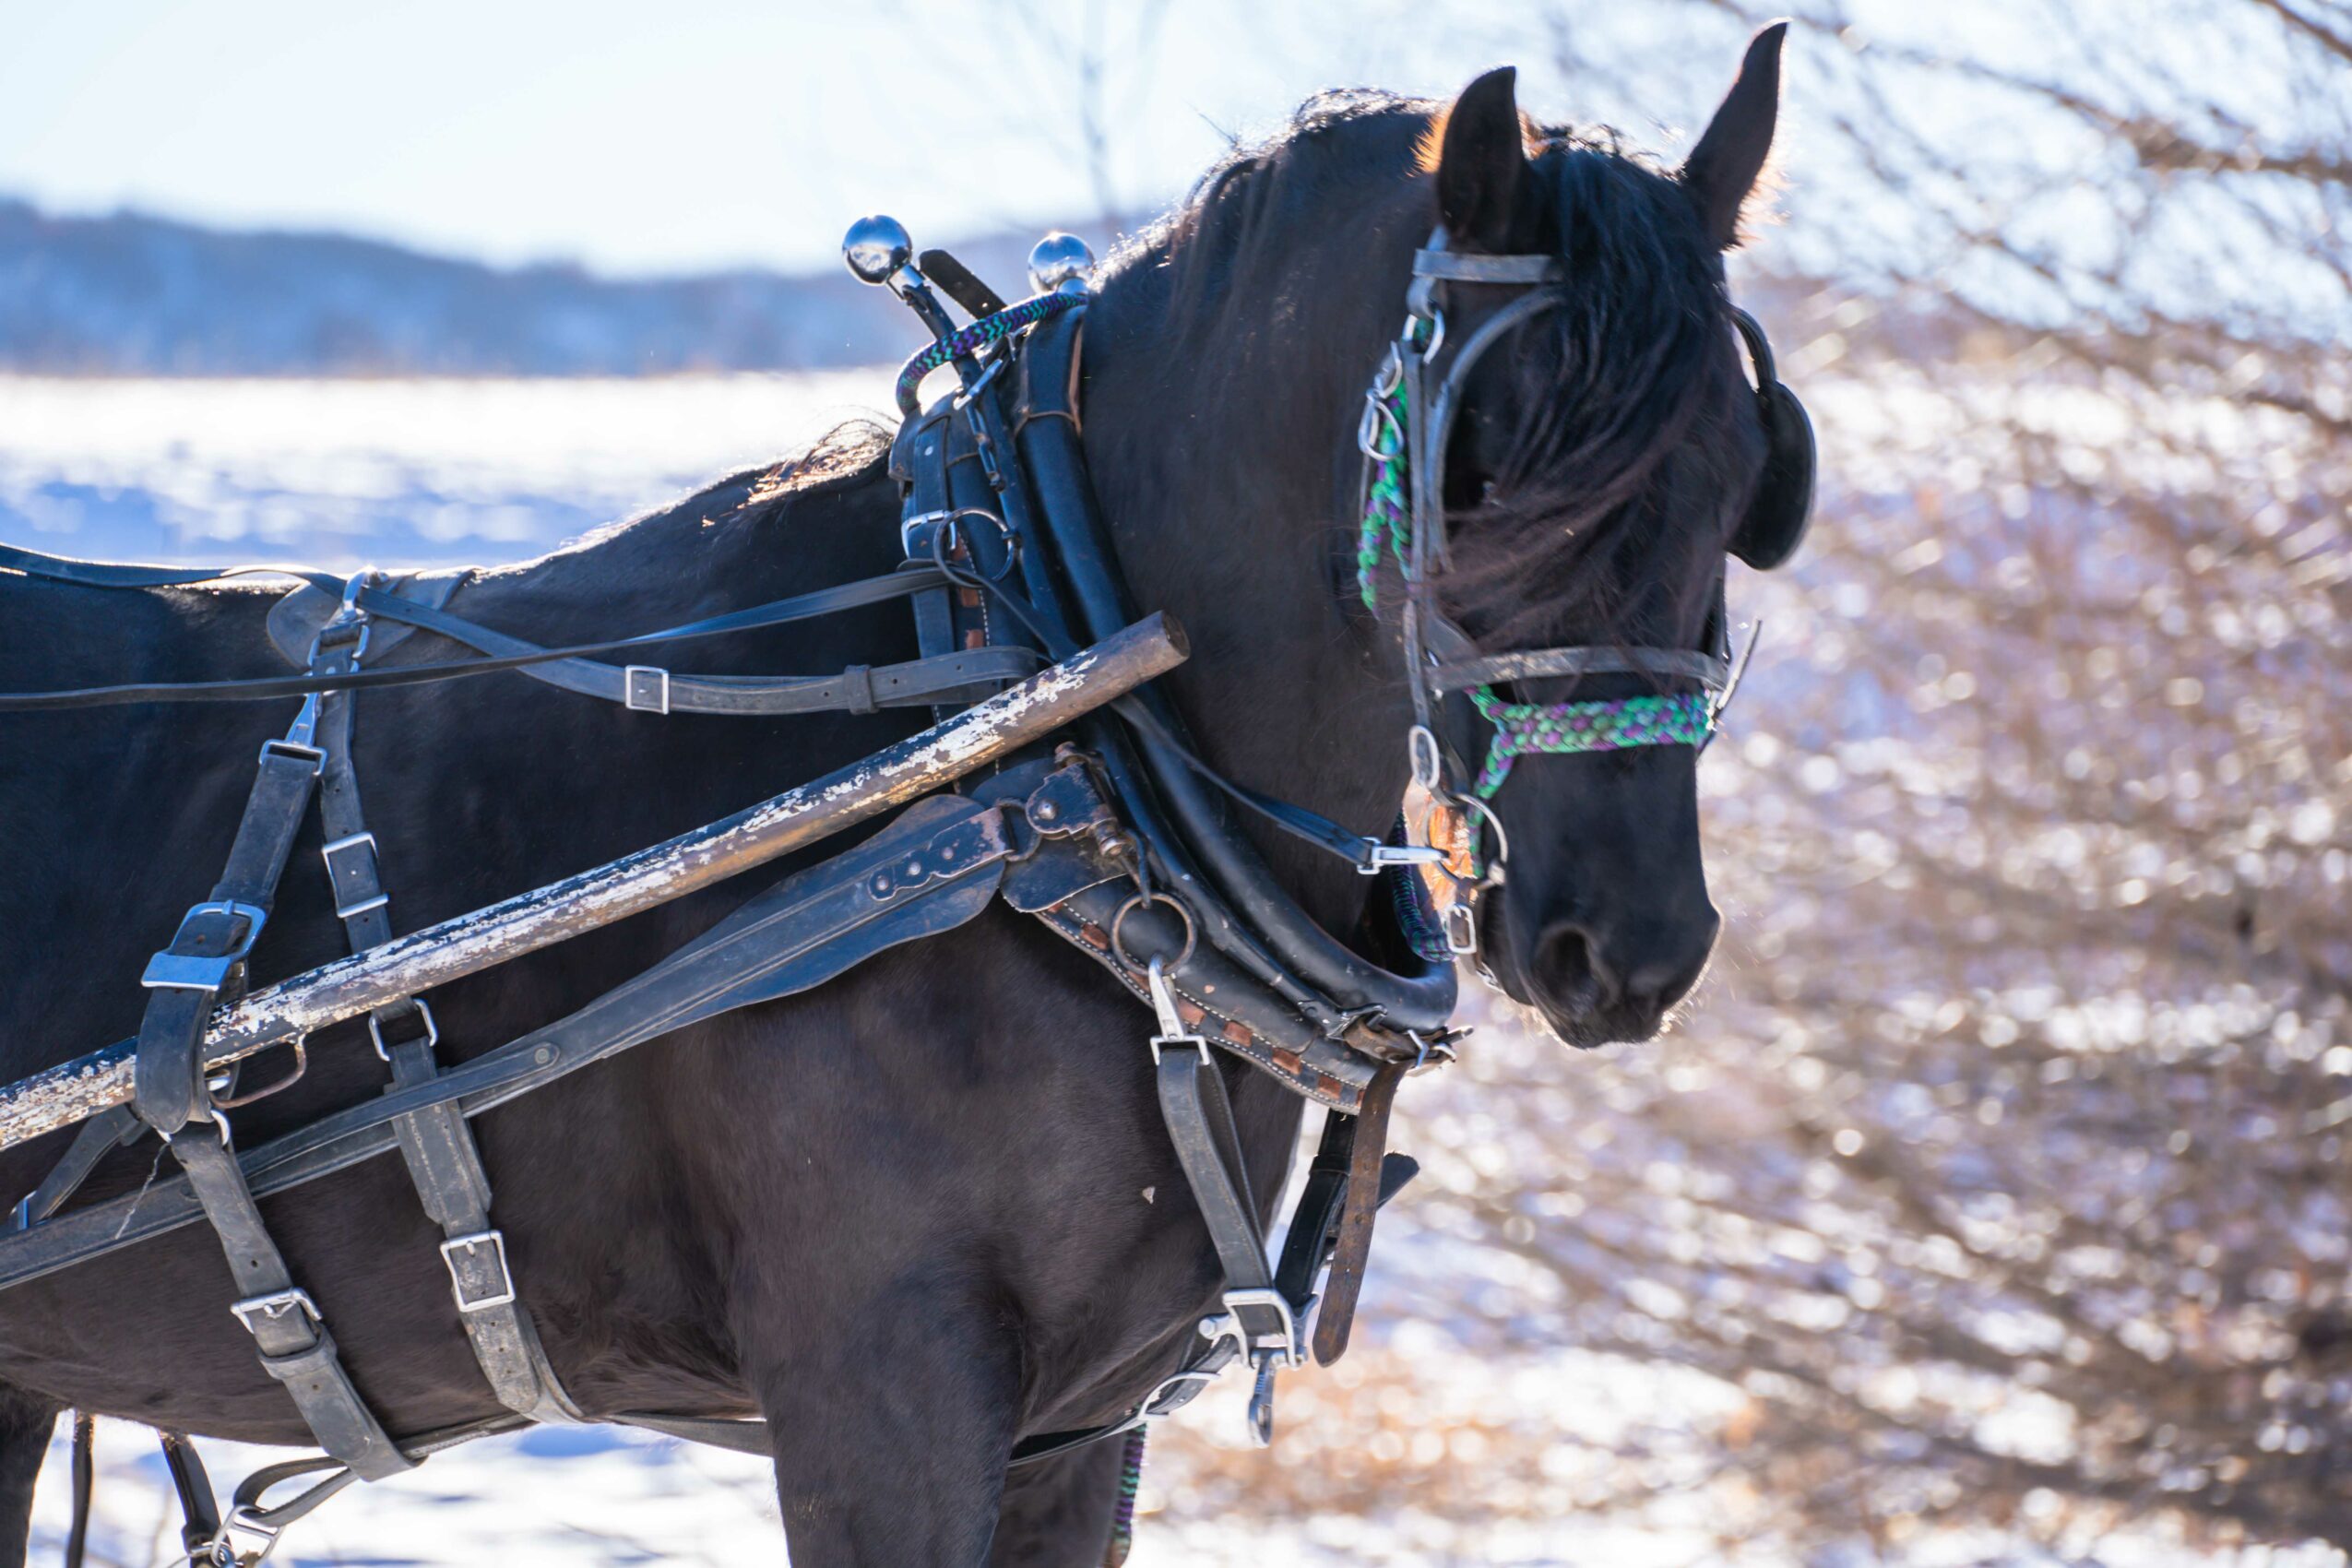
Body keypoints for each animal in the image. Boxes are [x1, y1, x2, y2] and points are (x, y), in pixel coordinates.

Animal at [0, 29, 1793, 1565]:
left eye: (1745, 475)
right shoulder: (881, 1388)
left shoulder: (1077, 1434)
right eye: (1474, 472)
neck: (1048, 739)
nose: (1628, 945)